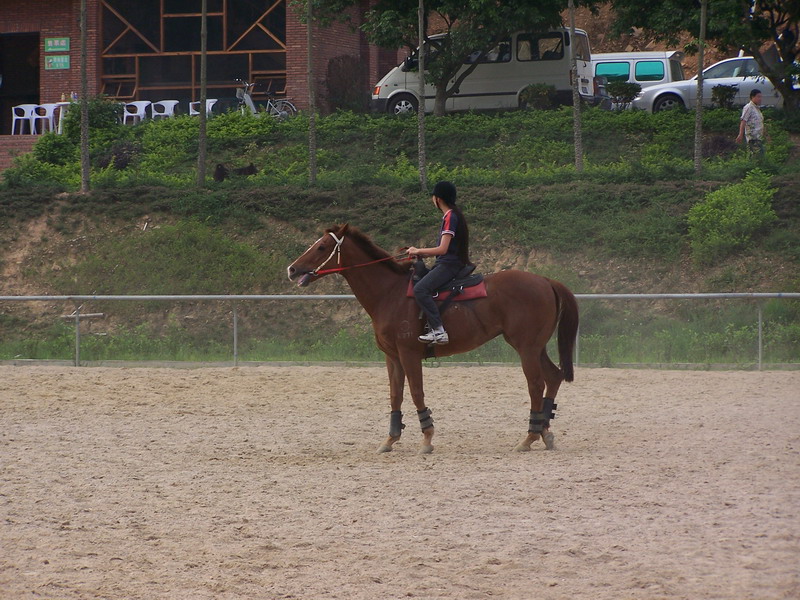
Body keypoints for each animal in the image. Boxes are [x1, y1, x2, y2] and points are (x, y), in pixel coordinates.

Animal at [290, 225, 580, 454]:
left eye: (322, 246)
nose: (292, 269)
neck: (390, 293)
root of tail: (546, 280)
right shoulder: (392, 357)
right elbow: (395, 395)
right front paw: (390, 439)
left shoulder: (409, 354)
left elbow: (416, 392)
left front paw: (427, 440)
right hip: (535, 347)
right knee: (553, 376)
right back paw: (544, 431)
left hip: (526, 348)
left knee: (536, 384)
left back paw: (529, 437)